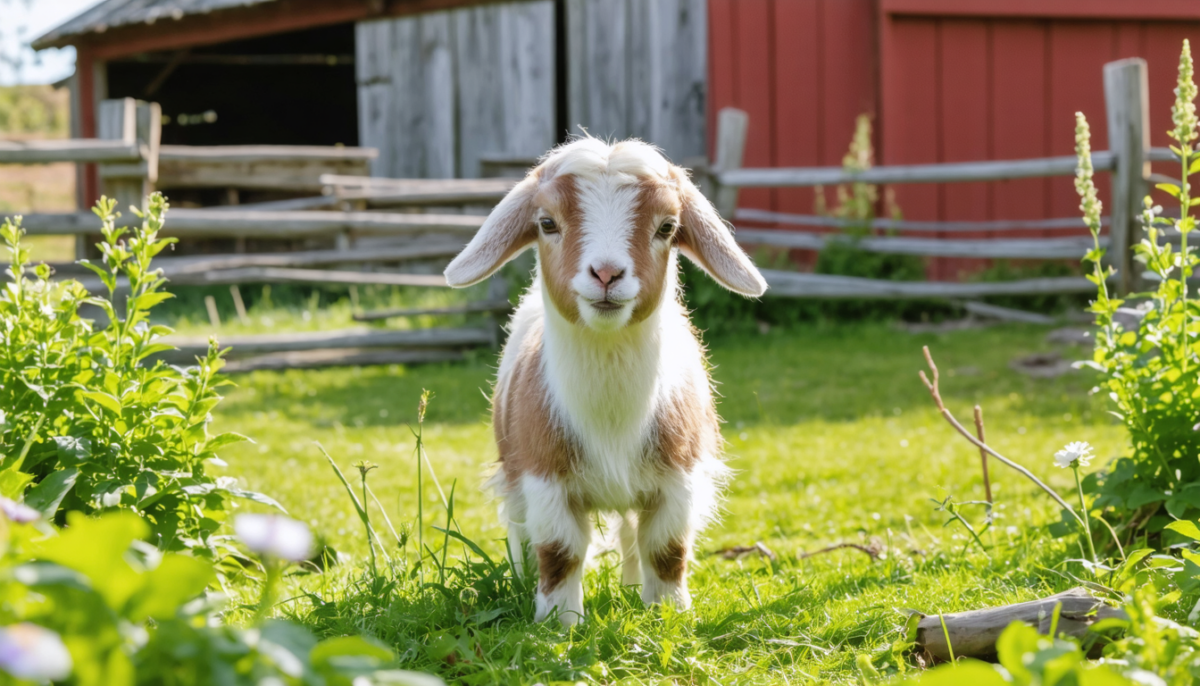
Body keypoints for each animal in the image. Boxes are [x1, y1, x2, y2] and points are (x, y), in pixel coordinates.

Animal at [443, 137, 766, 626]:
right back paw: (521, 579)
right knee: (518, 527)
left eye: (668, 226)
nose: (607, 274)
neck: (611, 417)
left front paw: (667, 613)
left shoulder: (679, 477)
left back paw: (633, 589)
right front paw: (558, 623)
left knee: (632, 536)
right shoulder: (543, 476)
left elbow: (666, 550)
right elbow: (559, 552)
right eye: (546, 223)